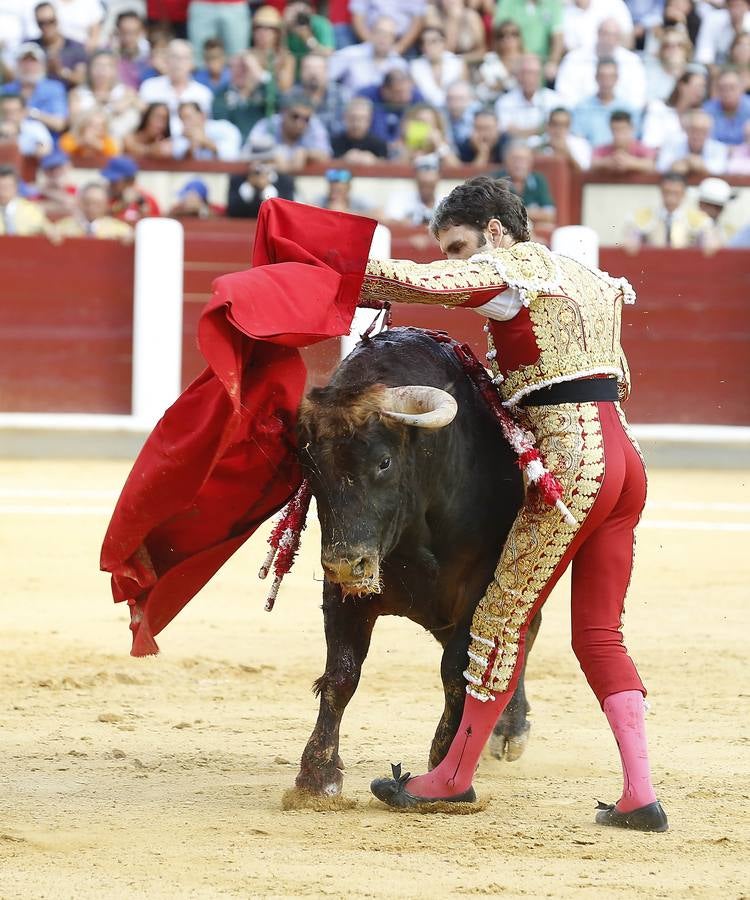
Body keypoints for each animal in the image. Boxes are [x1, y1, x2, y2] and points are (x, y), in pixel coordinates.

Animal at [292, 328, 540, 796]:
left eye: (384, 461)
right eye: (311, 469)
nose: (345, 563)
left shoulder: (481, 583)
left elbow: (458, 669)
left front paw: (443, 758)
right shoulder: (342, 587)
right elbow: (341, 673)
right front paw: (317, 774)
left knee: (514, 638)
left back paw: (507, 731)